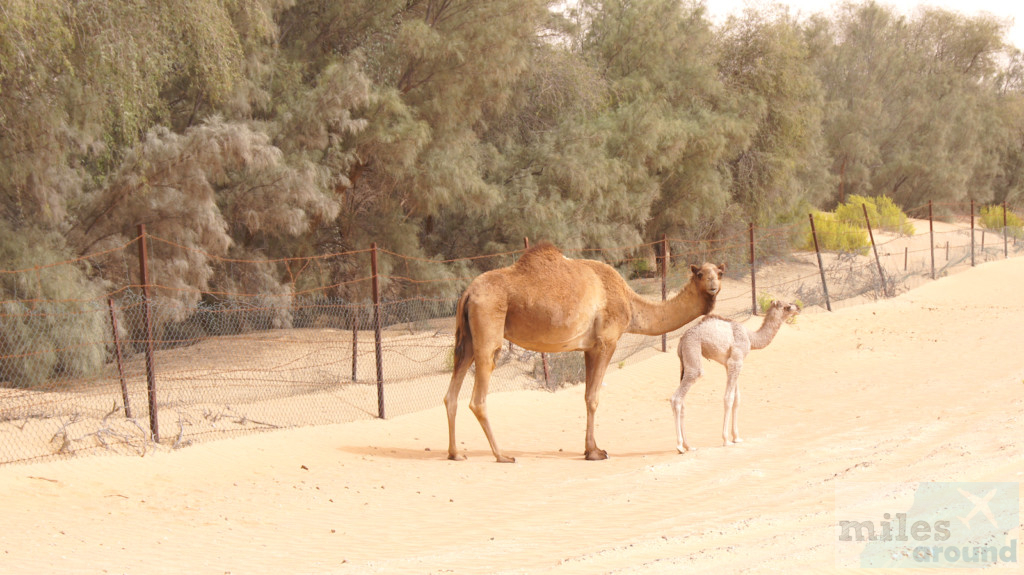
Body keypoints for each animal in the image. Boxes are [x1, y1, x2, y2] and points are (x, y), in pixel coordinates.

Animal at [444, 241, 724, 460]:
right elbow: (593, 397)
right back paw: (501, 455)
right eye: (700, 274)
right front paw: (596, 452)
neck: (630, 304)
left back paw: (455, 453)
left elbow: (587, 395)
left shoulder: (589, 348)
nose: (713, 286)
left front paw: (591, 449)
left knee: (451, 393)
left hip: (466, 339)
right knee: (478, 396)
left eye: (719, 273)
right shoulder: (606, 342)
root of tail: (468, 292)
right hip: (488, 328)